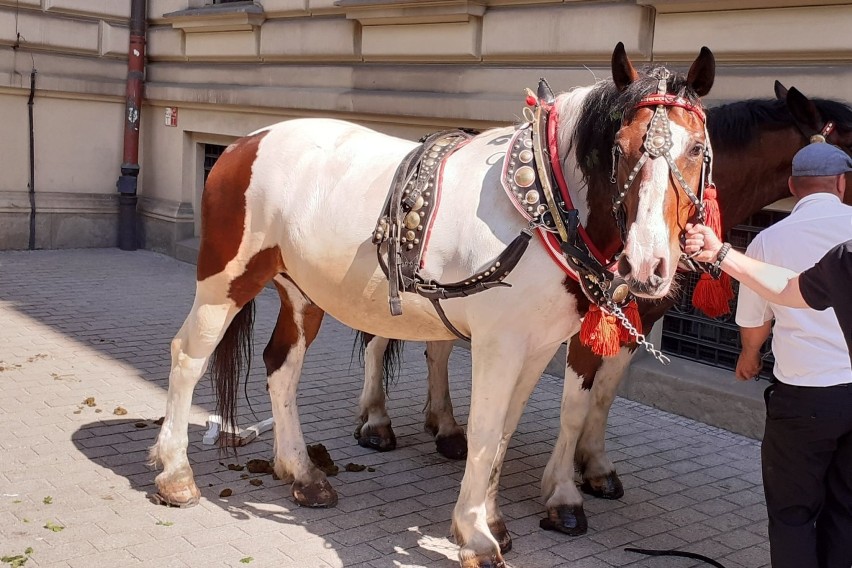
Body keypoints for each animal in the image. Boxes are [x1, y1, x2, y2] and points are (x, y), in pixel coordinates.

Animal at [150, 42, 716, 564]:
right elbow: (485, 431)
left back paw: (302, 472)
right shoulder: (498, 345)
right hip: (226, 279)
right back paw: (175, 473)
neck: (544, 206)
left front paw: (493, 519)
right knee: (188, 356)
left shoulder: (537, 348)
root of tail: (242, 144)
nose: (649, 263)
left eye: (696, 149)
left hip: (301, 292)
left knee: (280, 366)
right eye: (619, 148)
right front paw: (476, 534)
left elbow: (504, 431)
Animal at [356, 82, 852, 536]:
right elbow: (575, 405)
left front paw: (594, 465)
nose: (648, 264)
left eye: (696, 150)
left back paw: (446, 427)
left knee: (437, 350)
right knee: (378, 343)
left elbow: (605, 394)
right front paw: (562, 494)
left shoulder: (635, 323)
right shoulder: (583, 326)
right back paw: (376, 421)